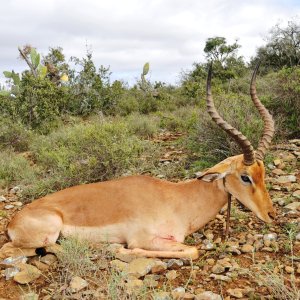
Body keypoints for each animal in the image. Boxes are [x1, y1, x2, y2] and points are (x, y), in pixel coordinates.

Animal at [0, 63, 276, 260]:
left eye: (263, 173)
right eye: (245, 176)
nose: (271, 214)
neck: (178, 199)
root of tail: (13, 221)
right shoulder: (145, 239)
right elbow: (190, 250)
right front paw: (120, 250)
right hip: (49, 231)